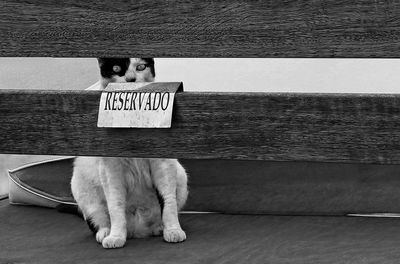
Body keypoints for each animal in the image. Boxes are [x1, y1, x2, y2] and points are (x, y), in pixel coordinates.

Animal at [71, 57, 188, 248]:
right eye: (116, 68)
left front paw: (173, 231)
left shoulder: (163, 163)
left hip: (181, 175)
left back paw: (159, 227)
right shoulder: (110, 169)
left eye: (140, 66)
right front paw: (116, 236)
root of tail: (138, 231)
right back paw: (106, 232)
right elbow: (115, 206)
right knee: (100, 218)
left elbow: (168, 201)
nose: (130, 79)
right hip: (80, 185)